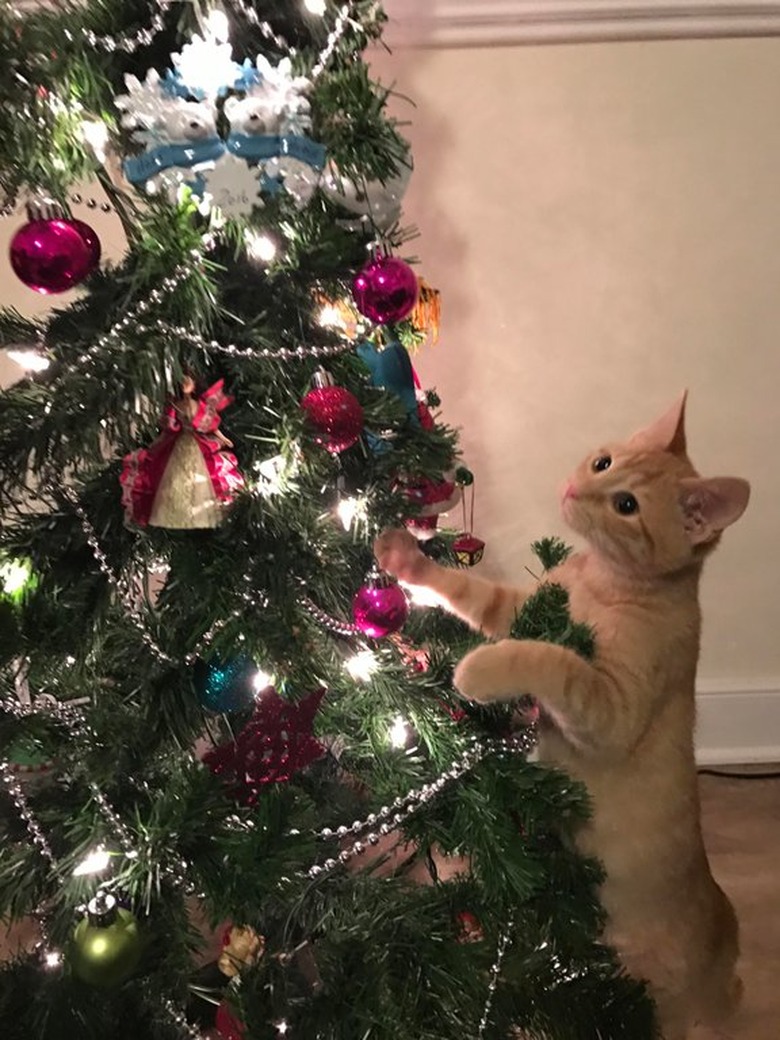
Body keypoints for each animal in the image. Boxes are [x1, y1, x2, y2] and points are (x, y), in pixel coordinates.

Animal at [376, 391, 752, 1040]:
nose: (577, 489)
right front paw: (408, 561)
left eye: (626, 505)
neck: (599, 577)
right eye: (603, 462)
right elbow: (473, 593)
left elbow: (549, 659)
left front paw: (478, 670)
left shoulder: (610, 707)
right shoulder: (525, 605)